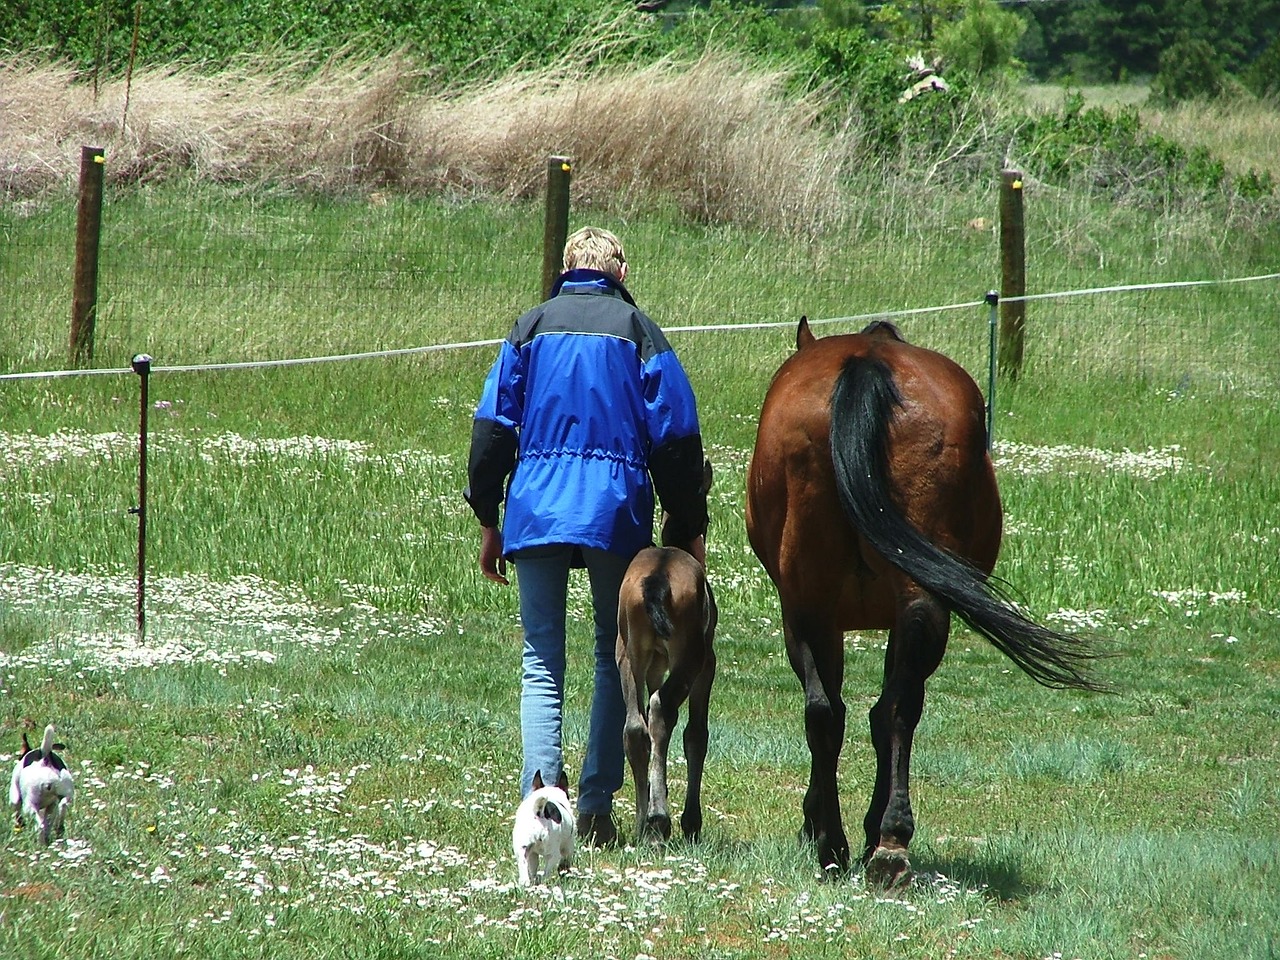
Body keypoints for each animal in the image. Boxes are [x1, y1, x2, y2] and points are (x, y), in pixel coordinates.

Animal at [614, 463, 716, 844]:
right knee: (661, 710)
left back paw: (643, 822)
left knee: (635, 727)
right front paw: (691, 821)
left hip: (627, 651)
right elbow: (696, 735)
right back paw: (659, 819)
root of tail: (656, 578)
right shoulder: (707, 664)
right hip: (689, 655)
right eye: (707, 516)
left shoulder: (655, 664)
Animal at [747, 320, 1100, 890]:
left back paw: (842, 841)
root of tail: (866, 363)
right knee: (884, 709)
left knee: (837, 711)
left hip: (810, 608)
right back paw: (883, 841)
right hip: (889, 608)